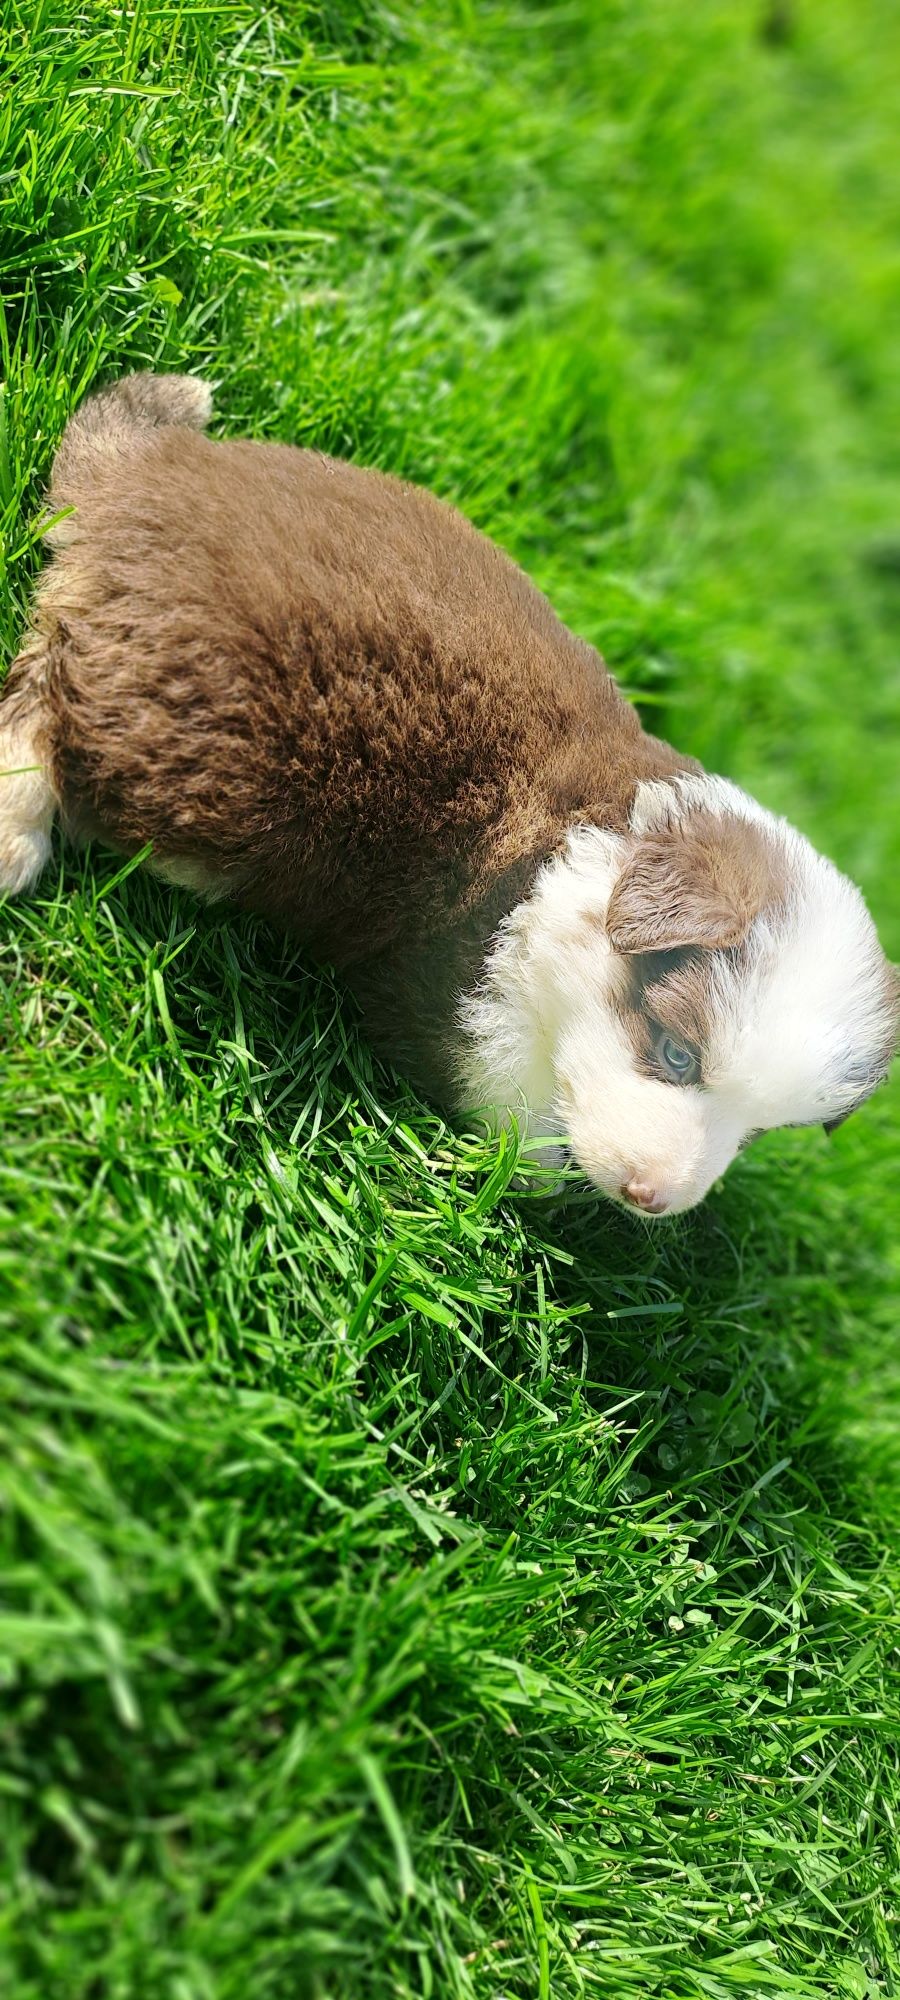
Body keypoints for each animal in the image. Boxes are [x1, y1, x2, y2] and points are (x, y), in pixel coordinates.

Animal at [0, 378, 896, 1216]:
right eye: (678, 1056)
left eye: (757, 1132)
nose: (652, 1199)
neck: (585, 858)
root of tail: (146, 472)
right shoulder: (460, 994)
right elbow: (511, 1115)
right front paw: (530, 1175)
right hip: (201, 749)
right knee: (51, 696)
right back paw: (16, 830)